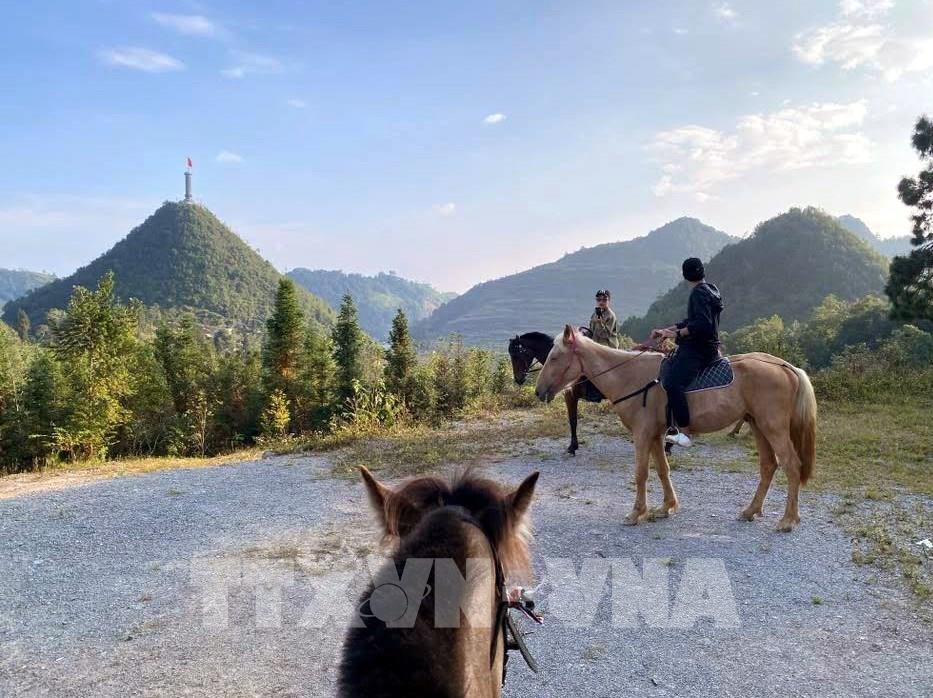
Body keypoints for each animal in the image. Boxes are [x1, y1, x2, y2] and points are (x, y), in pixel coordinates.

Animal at [534, 325, 817, 532]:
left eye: (555, 357)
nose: (539, 391)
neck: (631, 377)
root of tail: (786, 367)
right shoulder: (656, 434)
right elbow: (662, 469)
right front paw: (667, 507)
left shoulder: (642, 434)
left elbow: (641, 473)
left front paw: (636, 513)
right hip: (758, 425)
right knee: (768, 466)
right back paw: (751, 511)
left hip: (773, 428)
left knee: (791, 465)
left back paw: (788, 520)